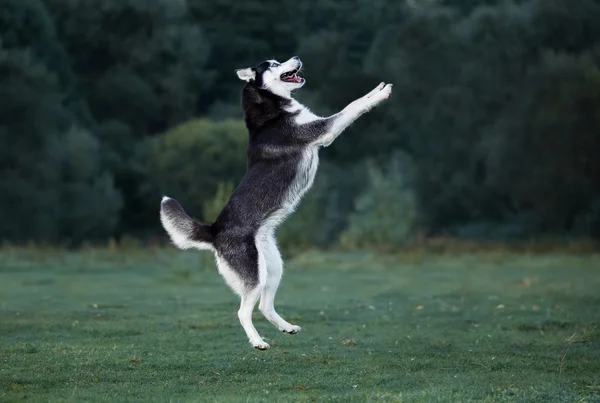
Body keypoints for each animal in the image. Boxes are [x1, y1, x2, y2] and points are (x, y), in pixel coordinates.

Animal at [161, 56, 394, 350]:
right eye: (272, 64)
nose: (296, 58)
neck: (272, 108)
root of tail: (214, 229)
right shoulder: (324, 130)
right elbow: (353, 106)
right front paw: (380, 95)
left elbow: (357, 100)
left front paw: (379, 89)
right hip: (253, 277)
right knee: (243, 311)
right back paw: (258, 342)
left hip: (273, 269)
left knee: (264, 306)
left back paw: (286, 327)